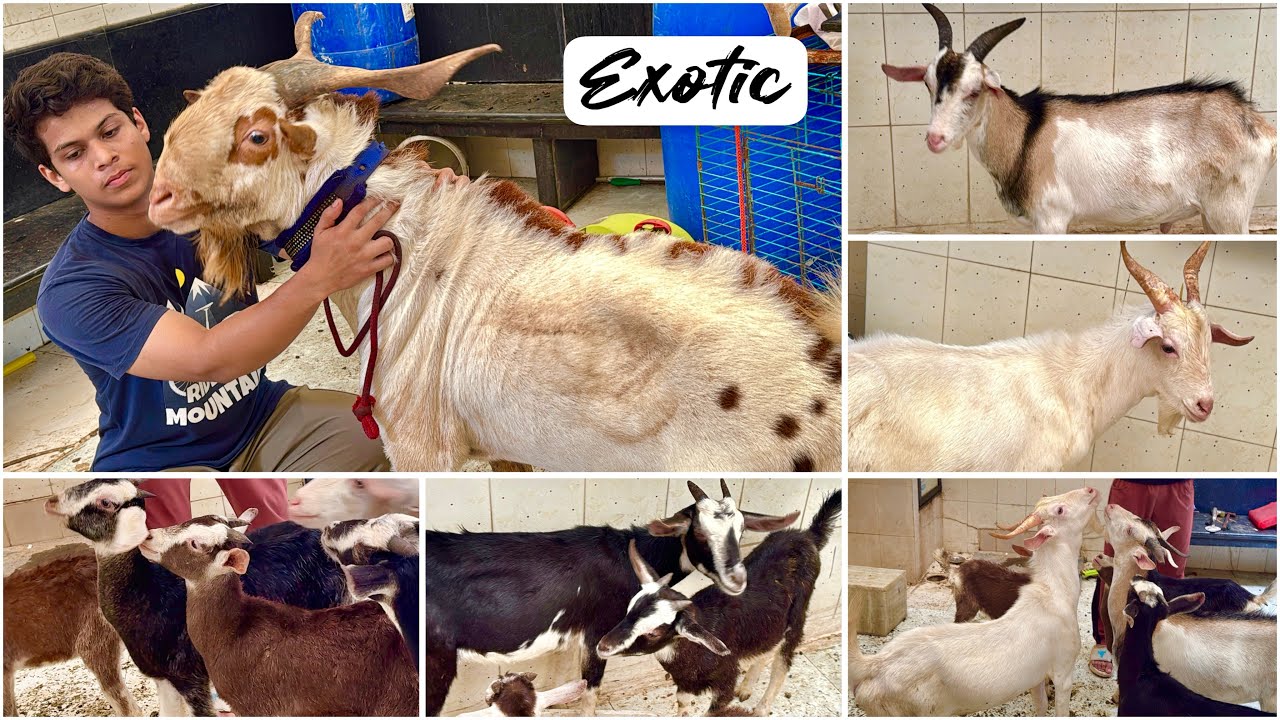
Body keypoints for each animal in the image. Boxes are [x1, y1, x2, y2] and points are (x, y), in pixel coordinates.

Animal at [596, 490, 841, 716]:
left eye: (654, 632)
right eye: (629, 610)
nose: (602, 646)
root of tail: (808, 536)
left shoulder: (725, 679)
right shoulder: (685, 684)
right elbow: (683, 705)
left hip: (798, 615)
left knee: (783, 662)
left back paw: (761, 709)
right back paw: (746, 688)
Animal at [851, 487, 1099, 716]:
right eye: (1060, 510)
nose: (1091, 490)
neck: (1054, 594)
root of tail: (872, 666)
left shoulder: (1036, 678)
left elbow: (1041, 706)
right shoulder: (1063, 670)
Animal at [881, 3, 1276, 233]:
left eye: (975, 89)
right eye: (929, 83)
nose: (935, 138)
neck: (1025, 133)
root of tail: (1256, 122)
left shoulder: (1053, 218)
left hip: (1228, 212)